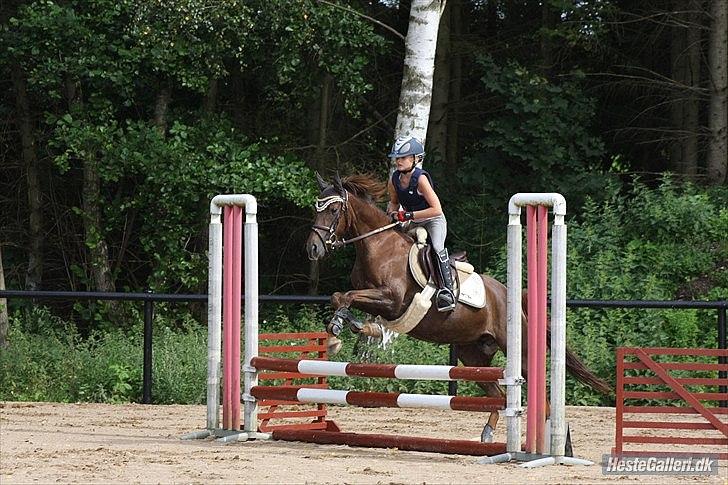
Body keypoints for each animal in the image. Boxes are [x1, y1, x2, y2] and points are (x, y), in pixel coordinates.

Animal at [305, 173, 611, 443]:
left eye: (333, 209)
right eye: (315, 209)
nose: (312, 249)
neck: (378, 245)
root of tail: (510, 295)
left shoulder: (392, 300)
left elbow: (347, 297)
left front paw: (340, 331)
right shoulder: (377, 301)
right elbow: (340, 297)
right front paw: (343, 331)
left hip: (518, 351)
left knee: (538, 398)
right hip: (472, 355)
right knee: (498, 395)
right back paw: (488, 434)